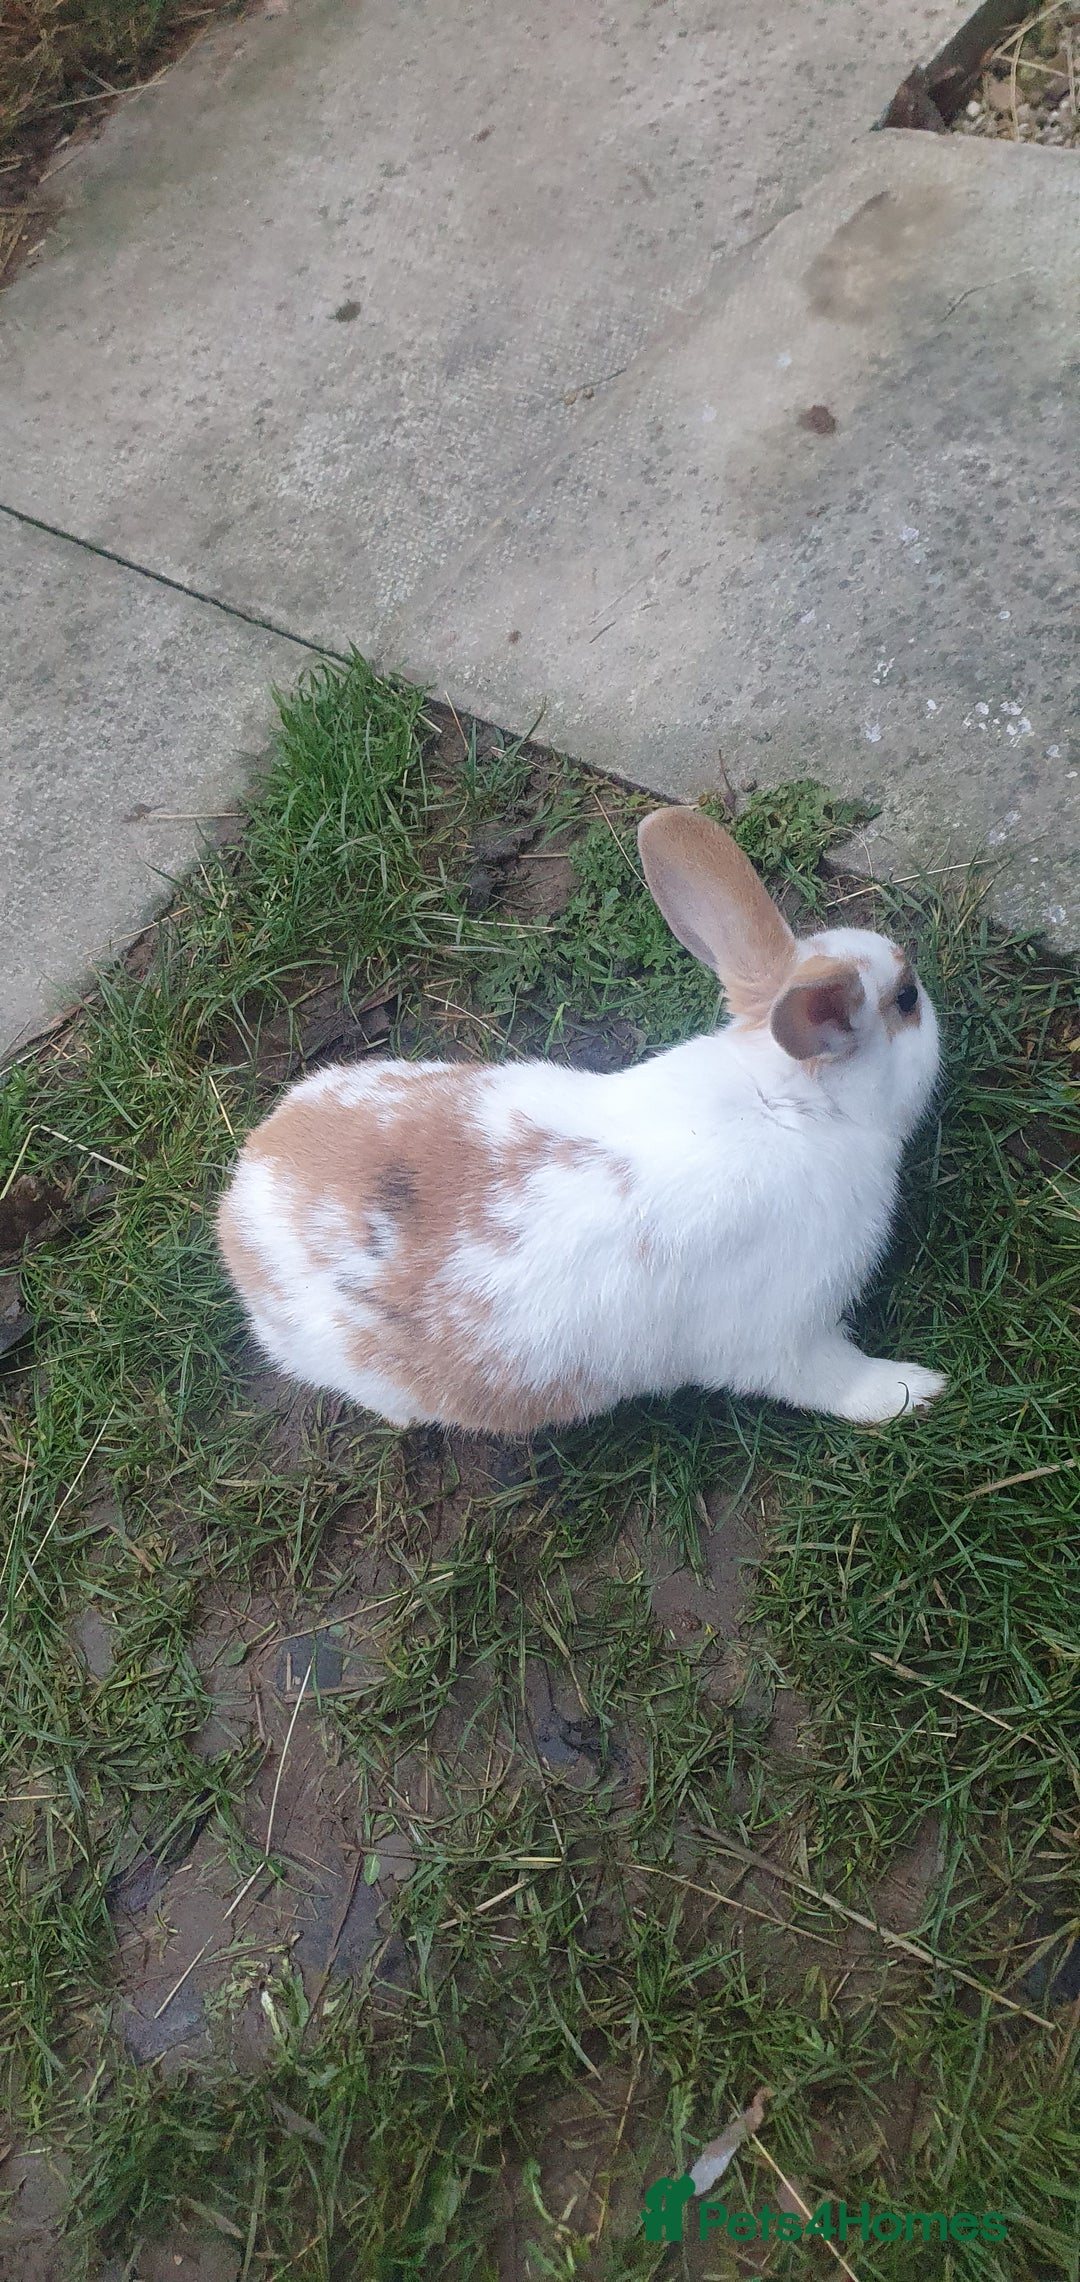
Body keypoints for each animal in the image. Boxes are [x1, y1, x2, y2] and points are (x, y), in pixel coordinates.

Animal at [217, 806, 946, 1434]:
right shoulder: (787, 1332)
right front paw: (917, 1389)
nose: (927, 992)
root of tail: (241, 1198)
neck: (793, 1107)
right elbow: (834, 1380)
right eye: (908, 1000)